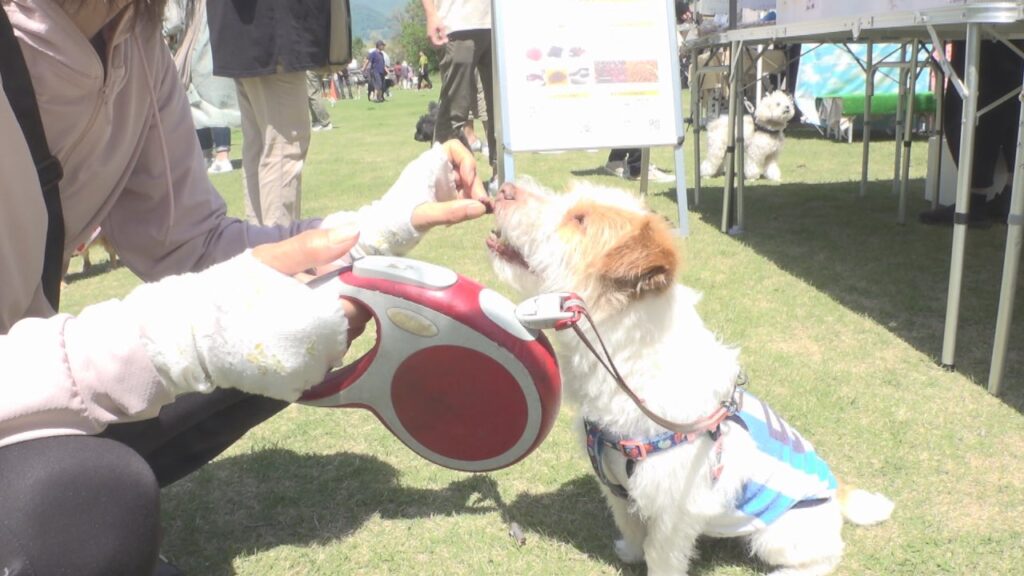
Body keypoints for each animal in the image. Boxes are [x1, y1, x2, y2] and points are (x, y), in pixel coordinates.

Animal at [483, 179, 892, 573]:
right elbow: (630, 525)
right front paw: (628, 552)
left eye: (580, 220)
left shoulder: (675, 510)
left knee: (826, 556)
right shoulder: (616, 486)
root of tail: (836, 493)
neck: (629, 370)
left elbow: (660, 554)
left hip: (778, 536)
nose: (503, 188)